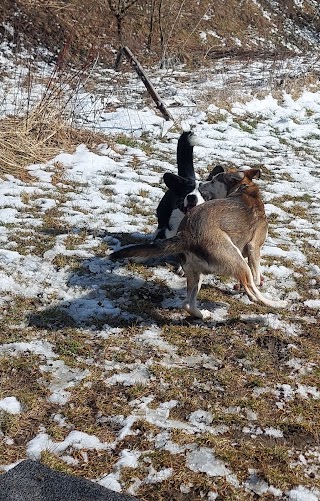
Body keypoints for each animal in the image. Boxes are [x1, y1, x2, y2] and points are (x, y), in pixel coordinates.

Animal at [110, 172, 288, 318]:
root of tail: (186, 235)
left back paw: (203, 315)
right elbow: (256, 276)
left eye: (214, 180)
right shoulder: (253, 248)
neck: (245, 190)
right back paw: (276, 303)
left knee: (187, 304)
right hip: (237, 260)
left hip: (196, 273)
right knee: (254, 289)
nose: (202, 183)